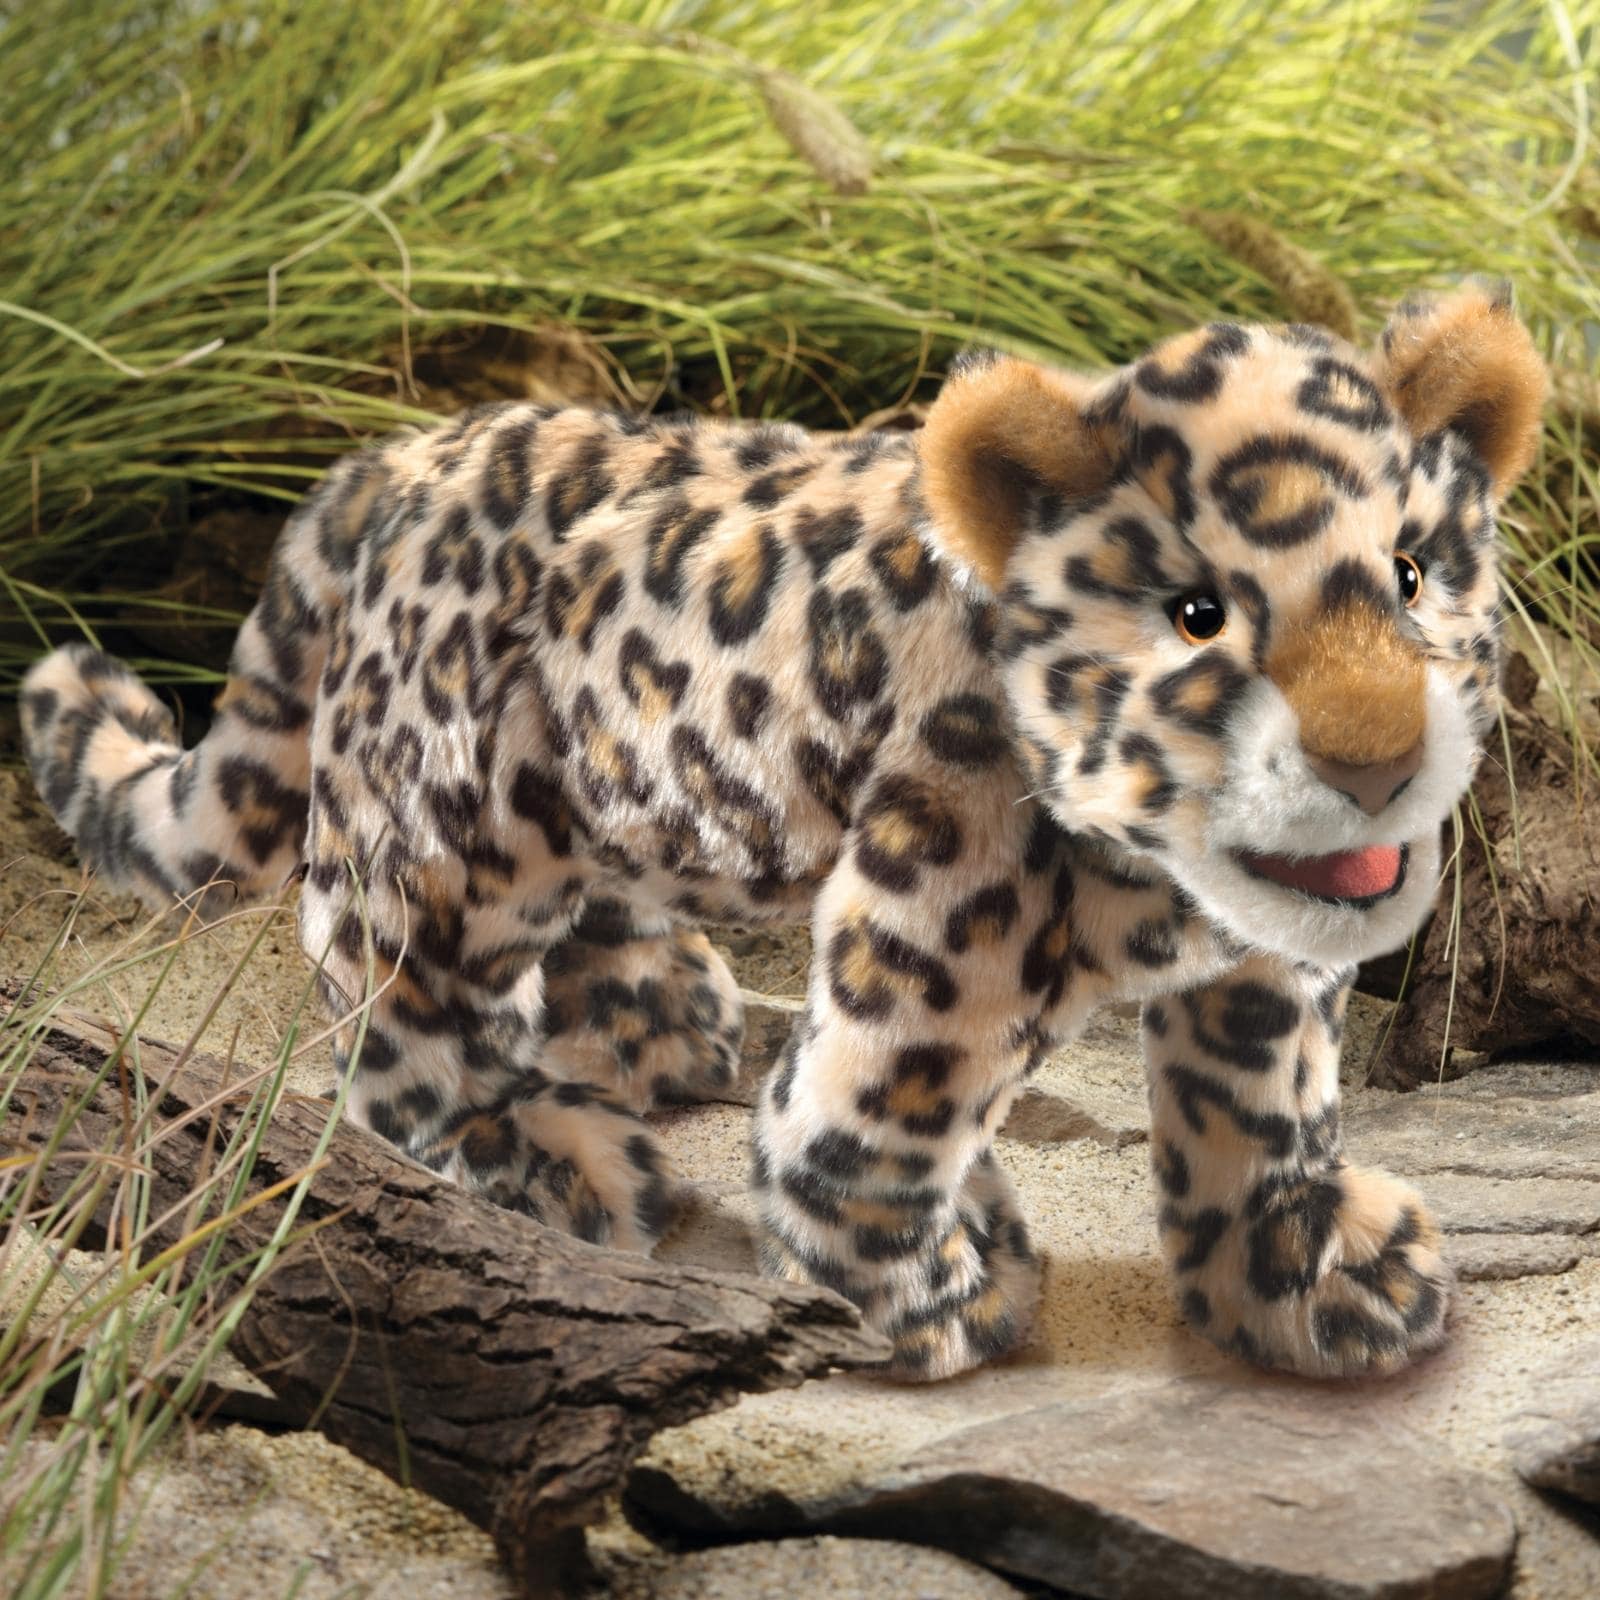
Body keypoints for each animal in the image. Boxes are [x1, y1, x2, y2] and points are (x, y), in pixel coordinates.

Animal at [20, 282, 1546, 1381]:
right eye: (1196, 617)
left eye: (1413, 574)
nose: (1376, 762)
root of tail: (388, 462)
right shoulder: (937, 925)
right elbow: (866, 1117)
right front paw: (930, 1295)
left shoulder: (1261, 961)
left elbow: (1258, 1103)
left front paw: (1305, 1270)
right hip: (449, 831)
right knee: (389, 1001)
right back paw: (555, 1159)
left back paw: (652, 1015)